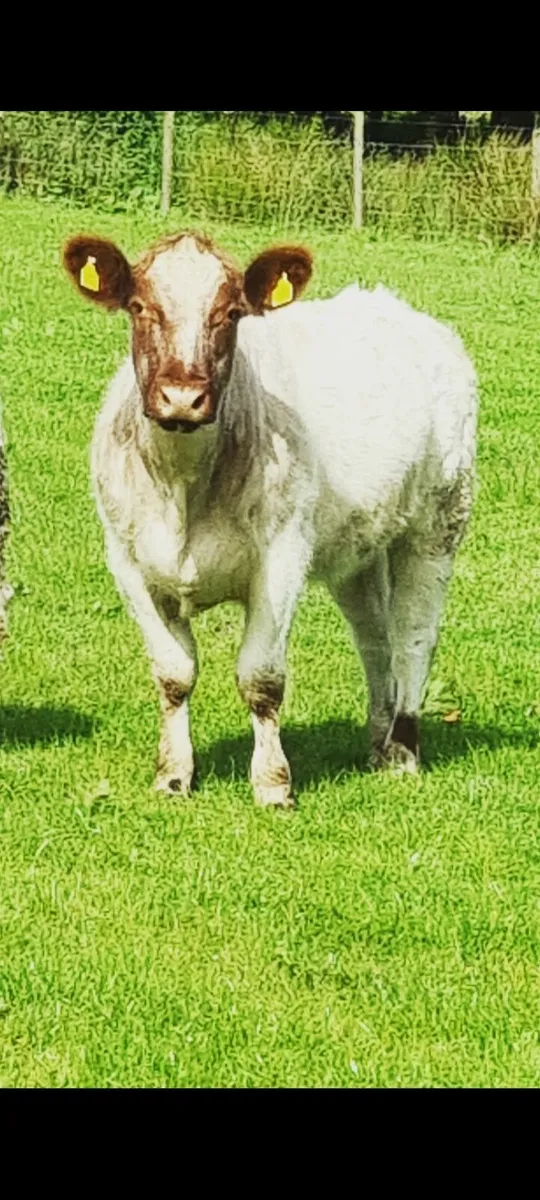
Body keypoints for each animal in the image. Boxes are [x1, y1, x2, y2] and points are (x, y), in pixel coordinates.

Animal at [62, 230, 477, 808]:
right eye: (140, 307)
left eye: (231, 313)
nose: (182, 397)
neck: (183, 490)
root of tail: (395, 306)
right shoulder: (127, 561)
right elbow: (173, 673)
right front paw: (173, 775)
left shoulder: (282, 557)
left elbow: (261, 677)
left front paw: (273, 784)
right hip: (358, 548)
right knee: (375, 639)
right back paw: (377, 740)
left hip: (438, 522)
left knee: (414, 636)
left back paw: (402, 751)